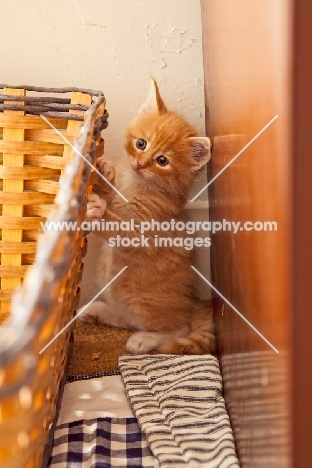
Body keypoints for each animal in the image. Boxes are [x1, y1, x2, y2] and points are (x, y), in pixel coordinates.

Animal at [81, 79, 216, 354]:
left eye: (162, 160)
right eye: (141, 144)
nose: (140, 164)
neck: (136, 183)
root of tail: (192, 304)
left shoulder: (145, 231)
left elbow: (118, 221)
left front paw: (97, 212)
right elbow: (114, 194)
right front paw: (105, 173)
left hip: (142, 300)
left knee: (177, 328)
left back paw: (144, 339)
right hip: (117, 293)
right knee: (128, 319)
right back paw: (98, 310)